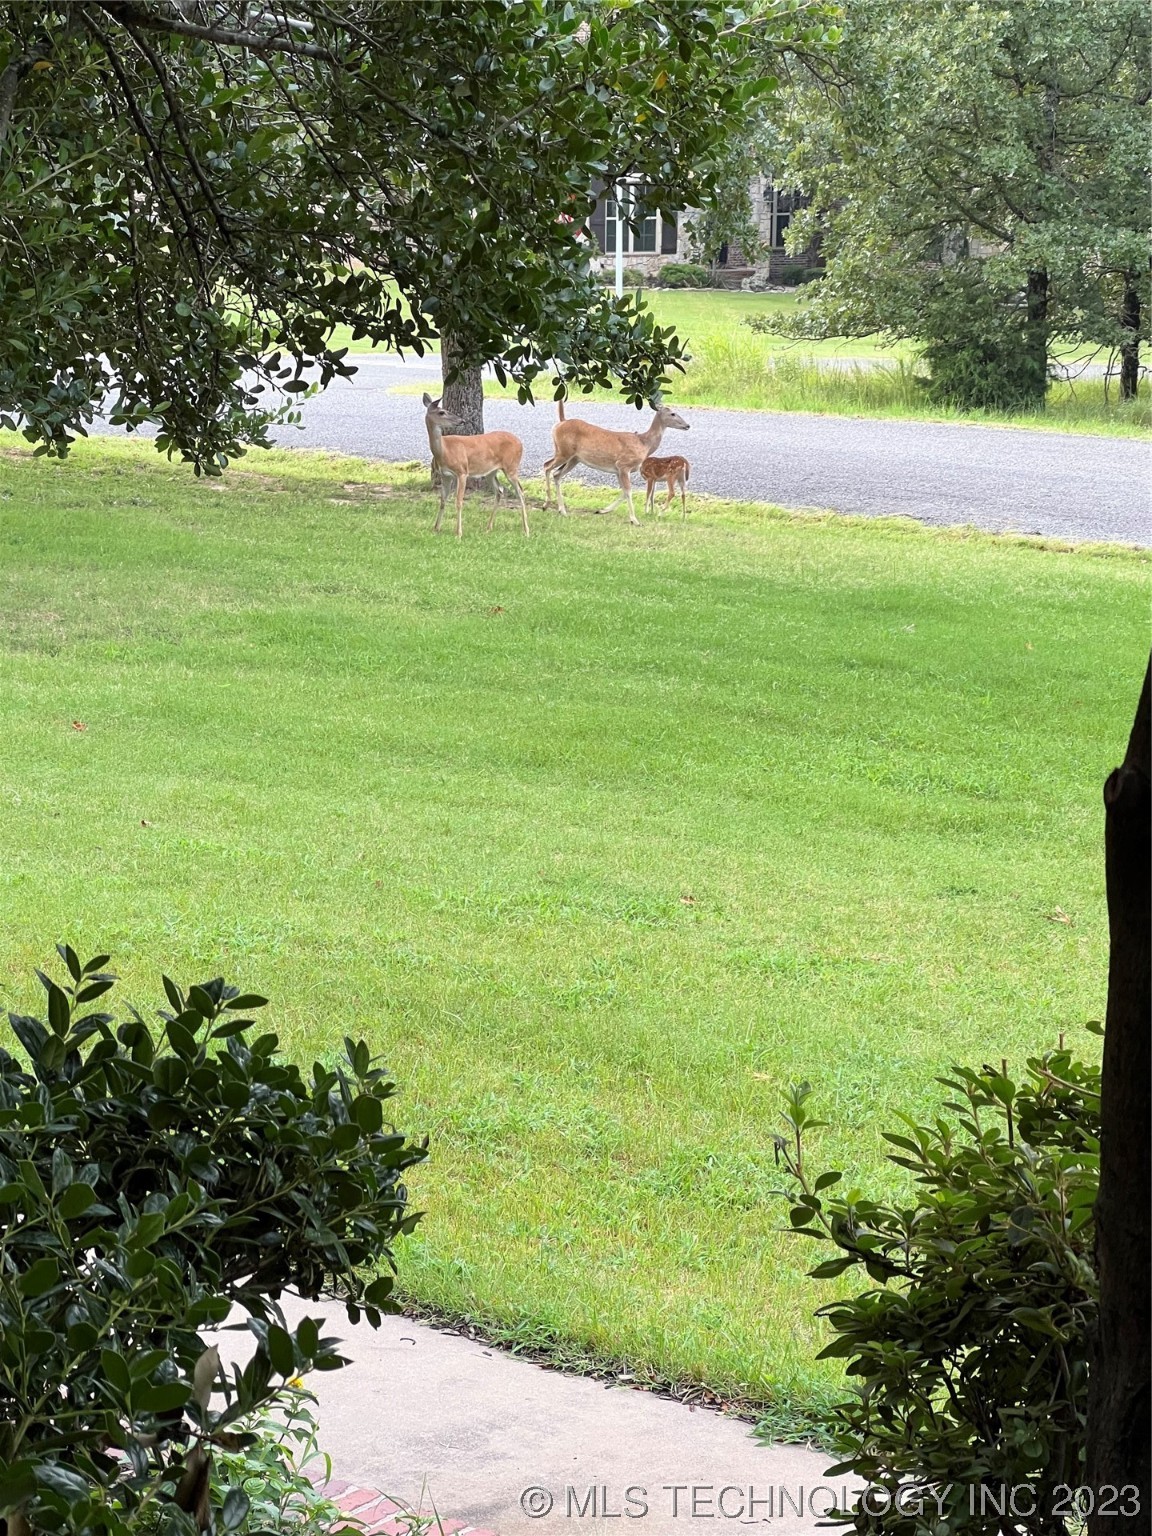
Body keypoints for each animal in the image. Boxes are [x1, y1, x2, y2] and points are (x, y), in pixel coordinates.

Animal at [423, 393, 531, 537]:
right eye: (441, 412)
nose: (461, 420)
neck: (445, 450)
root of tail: (520, 442)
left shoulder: (462, 471)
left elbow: (459, 501)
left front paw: (459, 533)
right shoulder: (445, 475)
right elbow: (442, 500)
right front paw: (436, 528)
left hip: (511, 466)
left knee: (520, 492)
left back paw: (526, 530)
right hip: (491, 472)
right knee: (499, 490)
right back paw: (488, 527)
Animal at [540, 399, 685, 525]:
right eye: (672, 413)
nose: (687, 425)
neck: (644, 444)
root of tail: (560, 423)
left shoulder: (617, 470)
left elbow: (623, 492)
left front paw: (602, 510)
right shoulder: (623, 465)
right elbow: (628, 491)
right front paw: (635, 520)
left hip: (574, 458)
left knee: (556, 474)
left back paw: (562, 511)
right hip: (564, 452)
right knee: (547, 466)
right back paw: (546, 504)